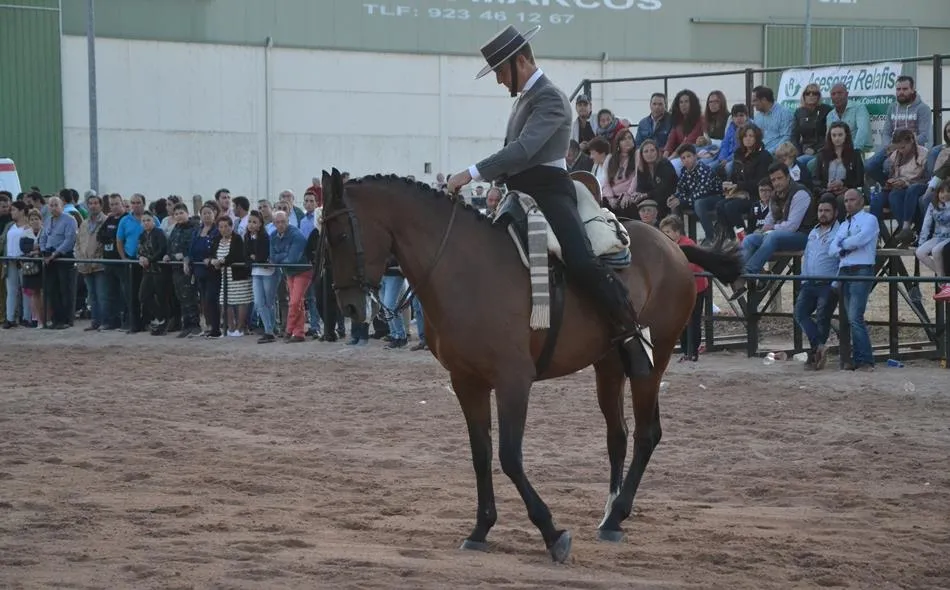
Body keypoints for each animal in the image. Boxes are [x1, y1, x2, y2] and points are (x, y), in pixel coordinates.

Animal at [318, 168, 741, 563]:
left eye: (339, 236)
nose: (350, 308)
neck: (464, 267)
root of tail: (672, 246)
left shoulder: (513, 381)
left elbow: (509, 456)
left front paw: (552, 533)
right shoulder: (466, 381)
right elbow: (481, 454)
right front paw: (481, 528)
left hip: (653, 363)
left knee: (646, 434)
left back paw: (617, 514)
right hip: (608, 366)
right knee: (618, 435)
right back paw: (609, 514)